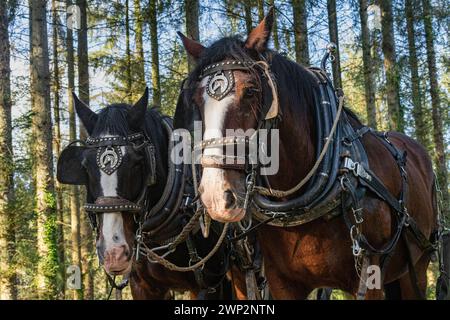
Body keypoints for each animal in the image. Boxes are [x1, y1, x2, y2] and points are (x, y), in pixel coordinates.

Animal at [177, 8, 440, 298]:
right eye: (196, 100)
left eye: (251, 91)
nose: (216, 196)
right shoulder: (282, 282)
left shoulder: (370, 274)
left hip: (416, 267)